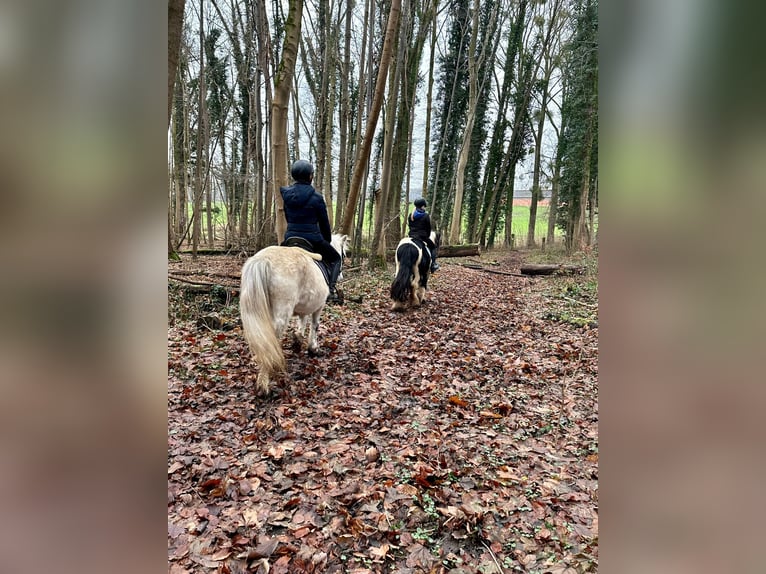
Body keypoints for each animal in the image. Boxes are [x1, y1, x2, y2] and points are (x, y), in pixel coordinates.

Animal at [240, 234, 352, 396]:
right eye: (343, 255)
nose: (341, 276)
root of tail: (262, 260)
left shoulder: (303, 306)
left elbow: (302, 321)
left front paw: (297, 339)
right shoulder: (319, 306)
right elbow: (315, 325)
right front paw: (313, 348)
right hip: (281, 315)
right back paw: (264, 385)